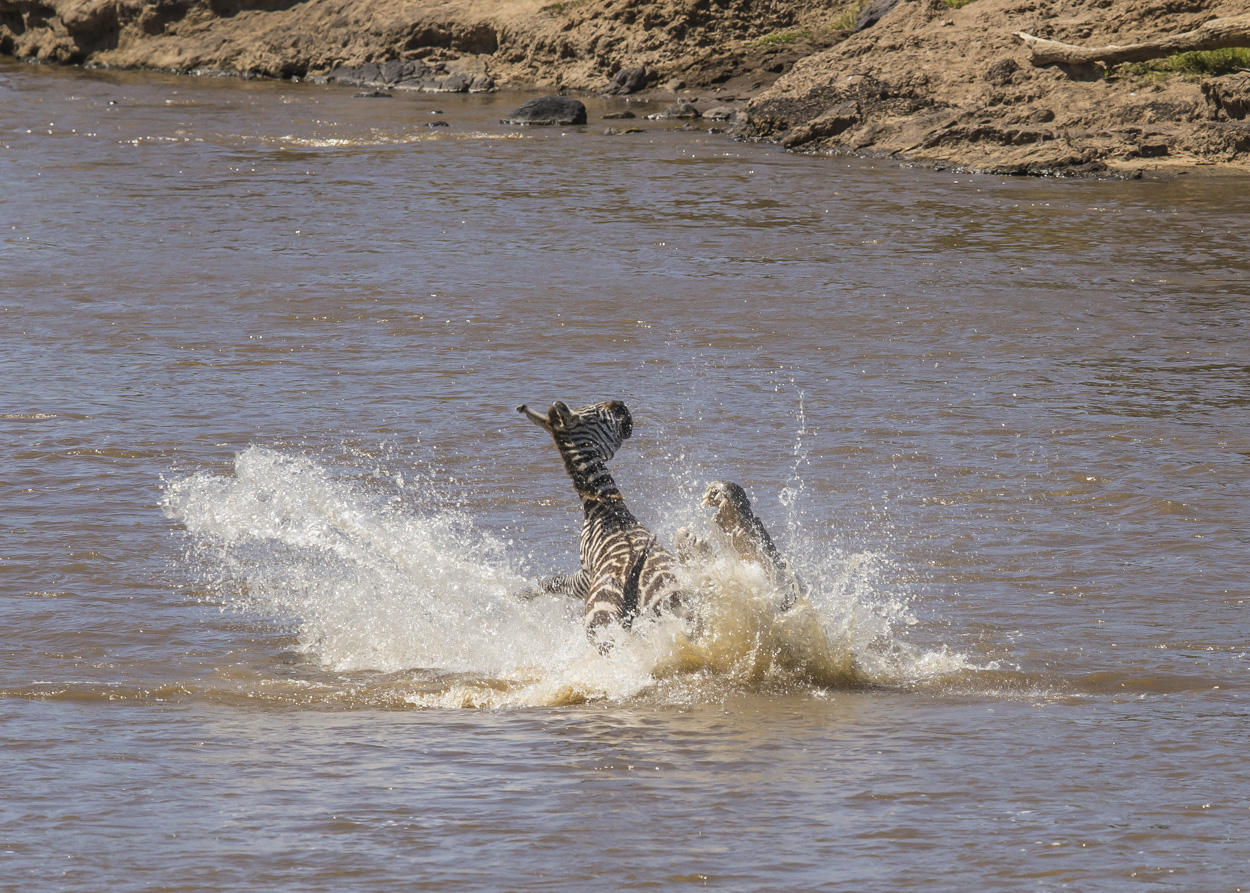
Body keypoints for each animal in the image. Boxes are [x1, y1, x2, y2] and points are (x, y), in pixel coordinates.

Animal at [520, 397, 695, 640]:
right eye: (594, 415)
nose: (620, 404)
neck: (606, 508)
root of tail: (630, 592)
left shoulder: (585, 577)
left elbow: (554, 582)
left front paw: (524, 593)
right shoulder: (584, 578)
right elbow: (554, 582)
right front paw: (524, 594)